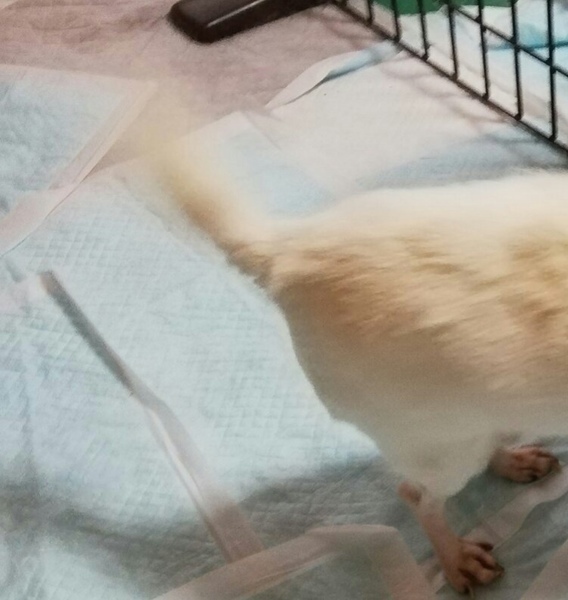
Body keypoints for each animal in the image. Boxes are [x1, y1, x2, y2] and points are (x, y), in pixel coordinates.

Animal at [149, 136, 565, 594]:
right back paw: (455, 556)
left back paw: (513, 461)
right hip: (437, 441)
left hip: (472, 418)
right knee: (417, 496)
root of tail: (289, 250)